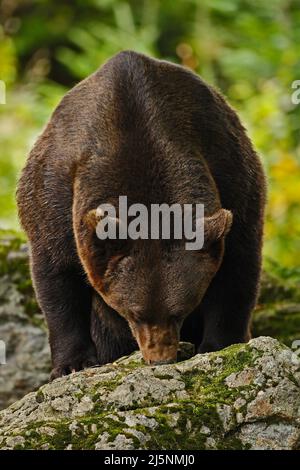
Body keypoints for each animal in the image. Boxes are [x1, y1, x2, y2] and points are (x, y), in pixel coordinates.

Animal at [16, 49, 266, 380]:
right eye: (134, 313)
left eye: (180, 311)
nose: (159, 359)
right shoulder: (57, 188)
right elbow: (57, 274)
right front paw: (73, 363)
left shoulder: (229, 168)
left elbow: (237, 265)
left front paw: (220, 343)